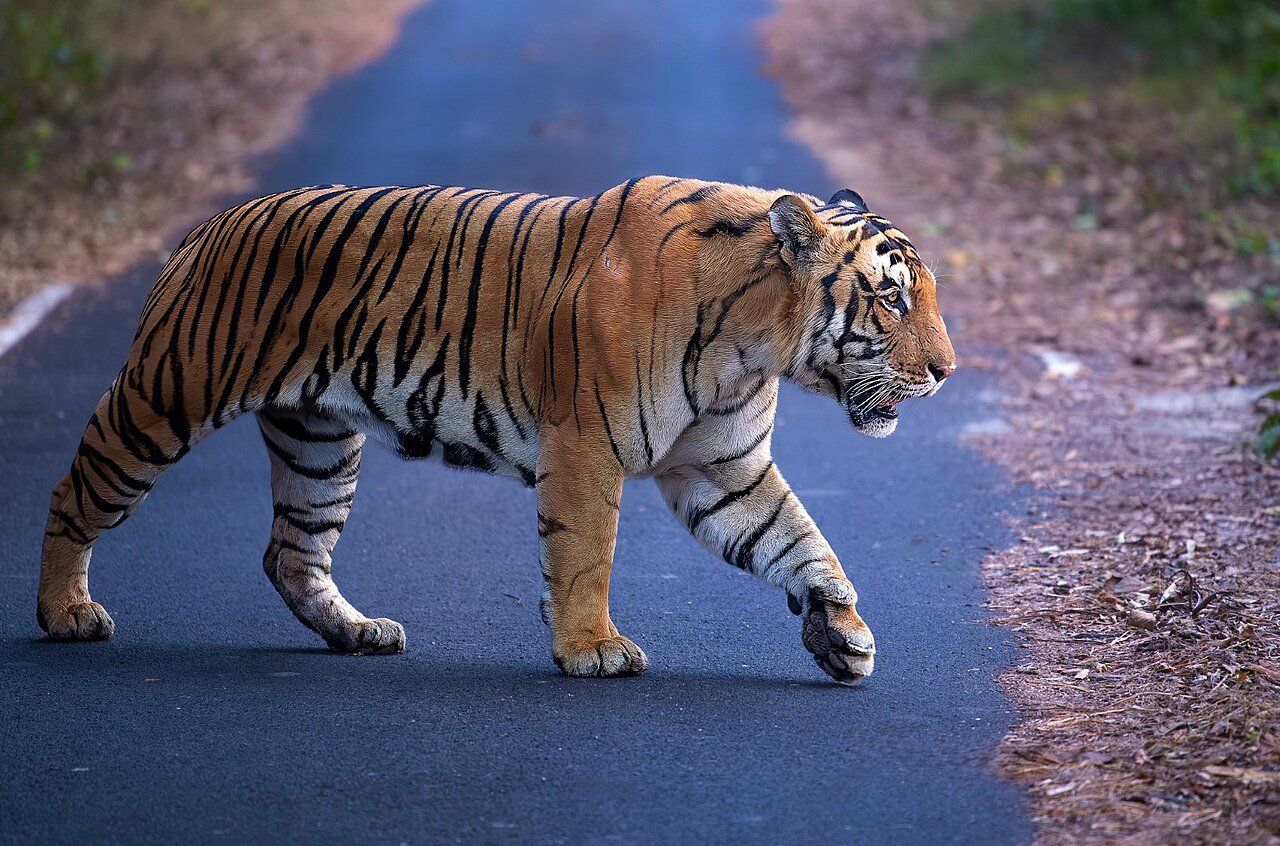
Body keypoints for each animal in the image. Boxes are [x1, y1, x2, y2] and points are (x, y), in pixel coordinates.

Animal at [36, 176, 956, 684]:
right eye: (891, 298)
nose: (948, 371)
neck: (755, 342)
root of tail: (208, 225)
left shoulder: (723, 469)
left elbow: (798, 539)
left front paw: (842, 632)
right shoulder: (587, 446)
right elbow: (585, 554)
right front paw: (591, 649)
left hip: (320, 442)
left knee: (291, 552)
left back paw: (360, 633)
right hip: (166, 397)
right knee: (74, 491)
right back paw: (66, 613)